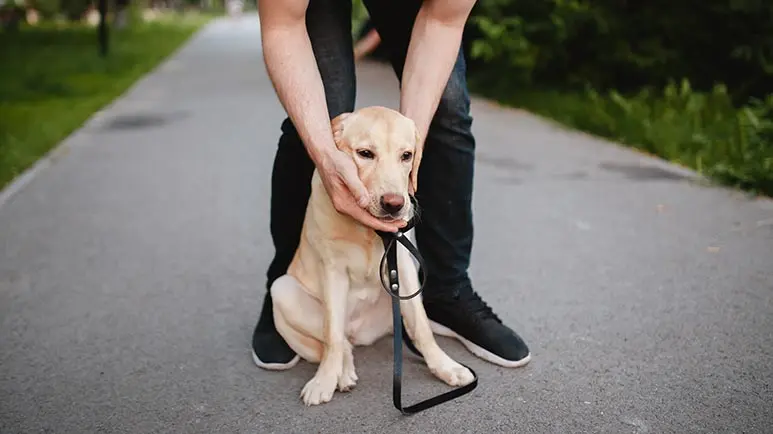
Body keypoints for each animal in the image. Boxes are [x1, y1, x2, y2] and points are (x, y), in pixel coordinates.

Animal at [268, 107, 474, 406]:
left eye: (406, 155)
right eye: (365, 153)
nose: (394, 204)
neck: (369, 231)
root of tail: (361, 333)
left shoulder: (404, 268)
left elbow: (422, 327)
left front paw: (445, 366)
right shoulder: (332, 270)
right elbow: (332, 334)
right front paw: (324, 380)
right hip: (282, 289)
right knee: (339, 339)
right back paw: (343, 373)